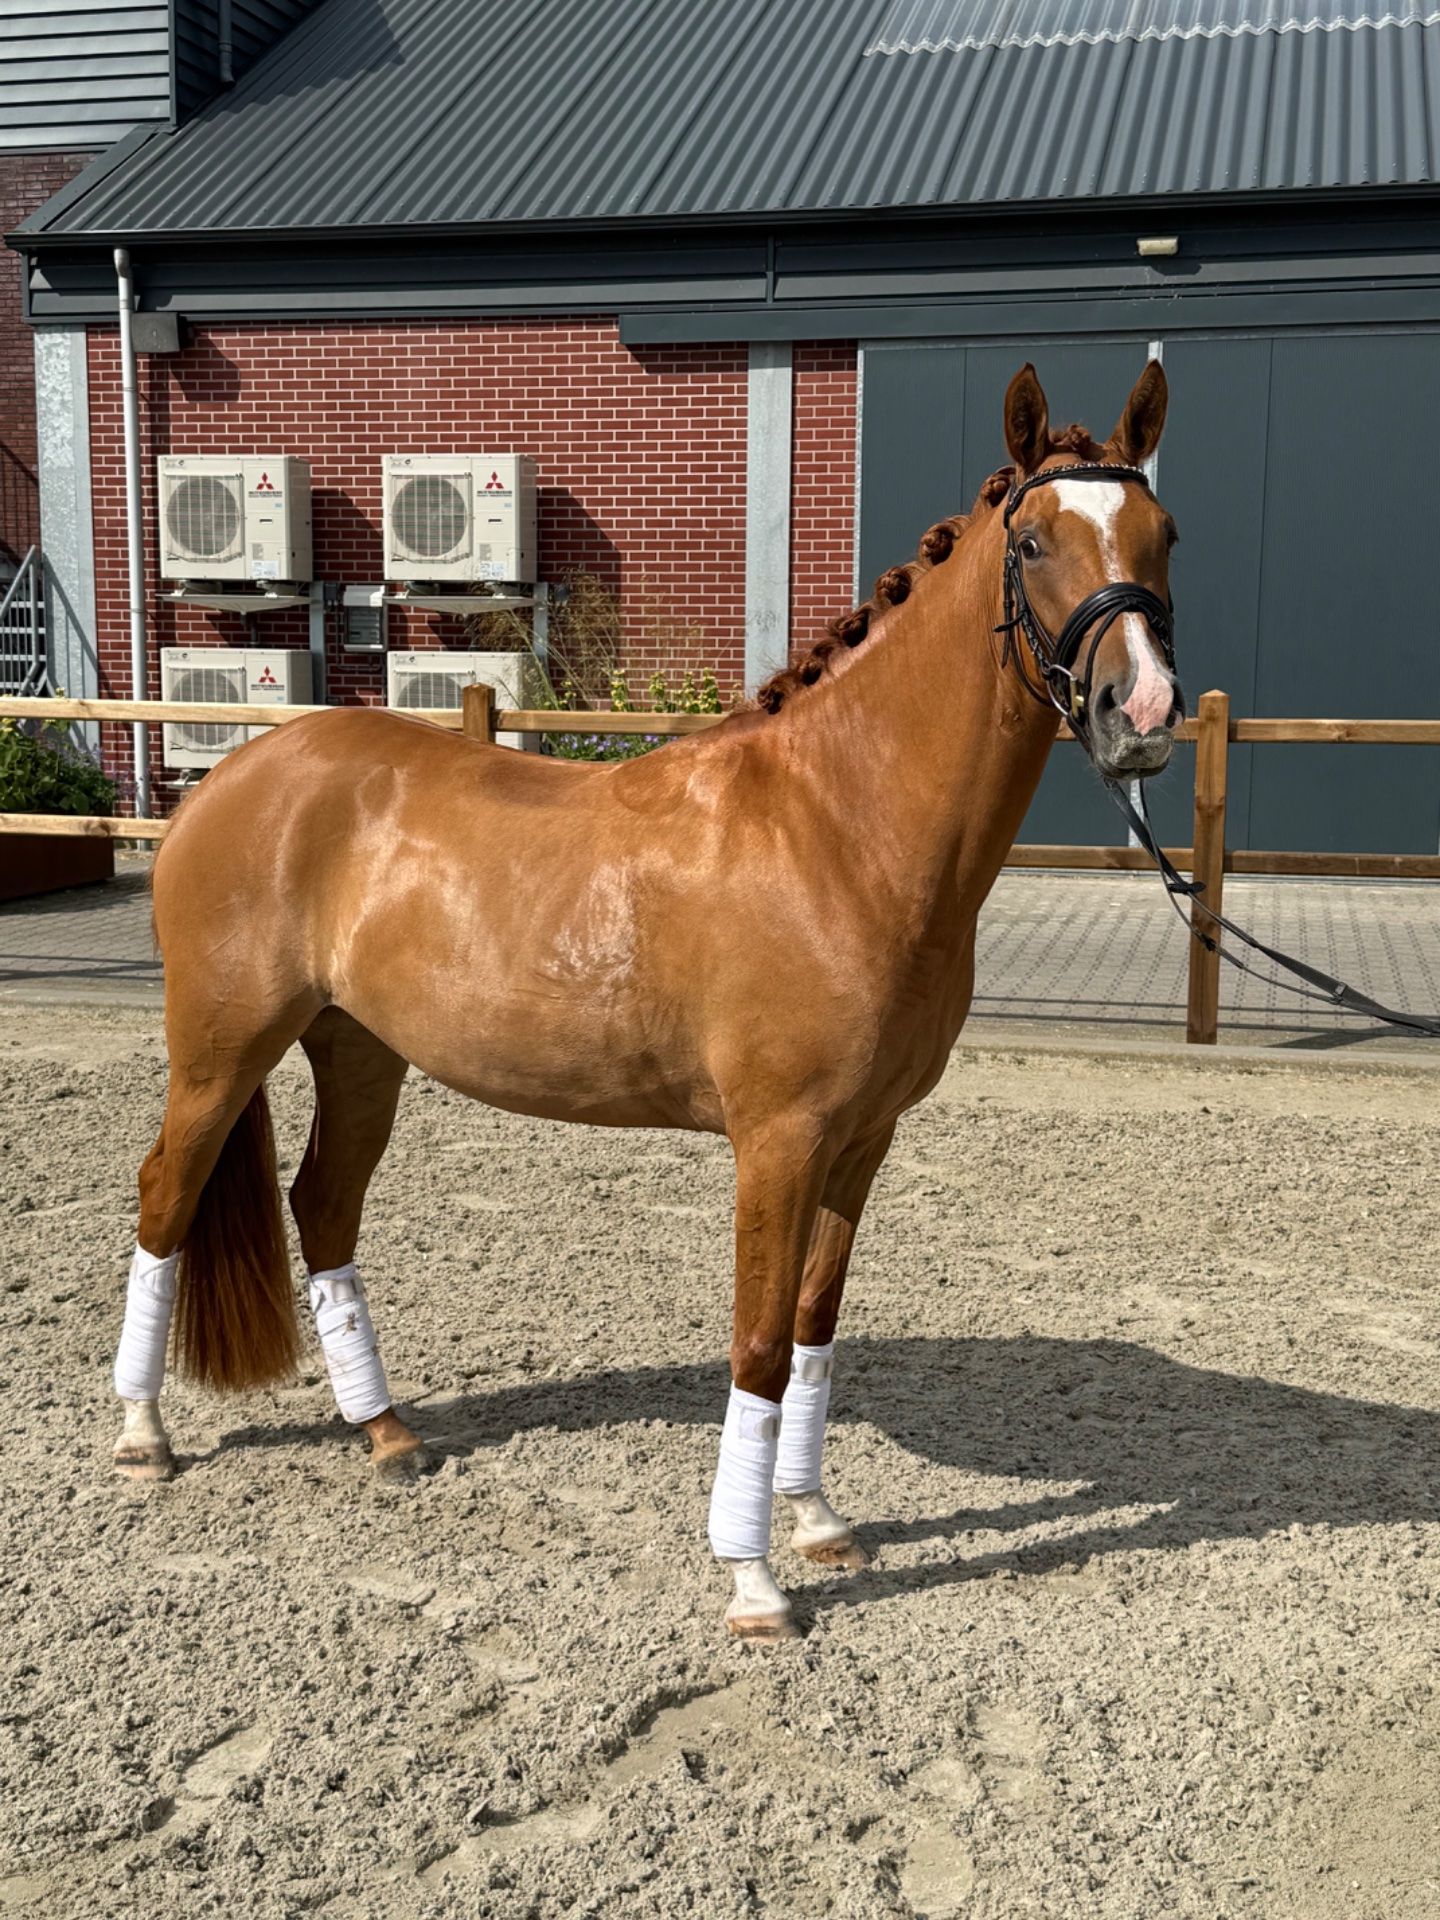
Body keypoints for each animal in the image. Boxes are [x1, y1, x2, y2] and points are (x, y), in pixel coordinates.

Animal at [111, 361, 1182, 1640]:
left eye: (1164, 534)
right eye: (1030, 541)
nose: (1145, 710)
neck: (839, 825)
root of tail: (227, 777)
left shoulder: (861, 1142)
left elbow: (815, 1330)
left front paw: (816, 1520)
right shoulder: (779, 1142)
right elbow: (761, 1344)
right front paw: (754, 1581)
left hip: (360, 1051)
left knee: (322, 1209)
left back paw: (386, 1433)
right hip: (220, 1052)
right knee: (165, 1197)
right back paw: (143, 1436)